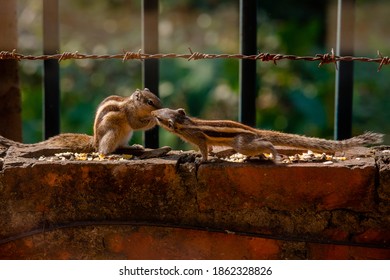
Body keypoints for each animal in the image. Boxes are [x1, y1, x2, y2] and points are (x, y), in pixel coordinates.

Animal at [0, 87, 161, 153]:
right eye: (150, 102)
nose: (161, 107)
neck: (133, 104)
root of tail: (95, 141)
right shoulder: (129, 113)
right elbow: (135, 124)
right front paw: (153, 118)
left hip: (125, 135)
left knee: (120, 146)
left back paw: (133, 147)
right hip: (112, 132)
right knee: (104, 150)